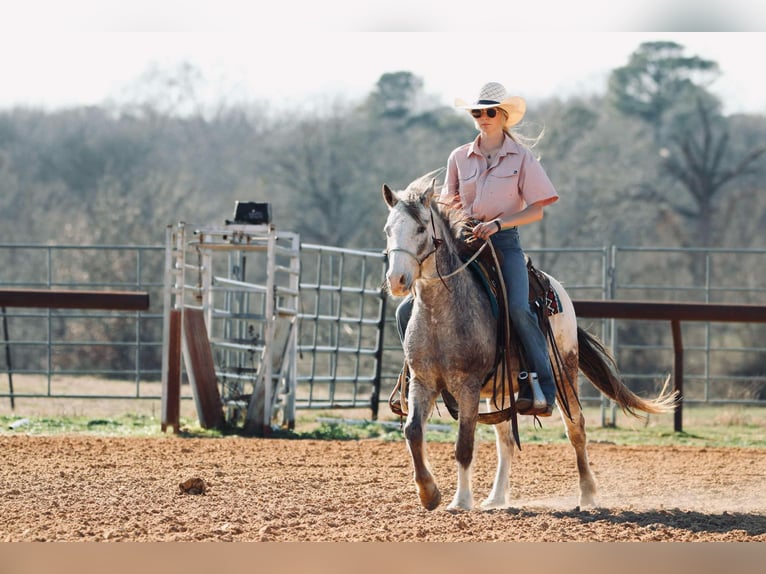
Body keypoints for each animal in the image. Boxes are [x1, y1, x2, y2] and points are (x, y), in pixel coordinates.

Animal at [382, 172, 680, 512]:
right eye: (388, 230)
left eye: (420, 228)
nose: (396, 280)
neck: (441, 313)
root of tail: (559, 292)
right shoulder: (423, 381)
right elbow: (413, 431)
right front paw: (428, 493)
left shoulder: (468, 385)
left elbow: (464, 444)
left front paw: (461, 501)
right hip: (500, 390)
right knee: (505, 439)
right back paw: (496, 498)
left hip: (564, 372)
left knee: (576, 428)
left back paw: (587, 494)